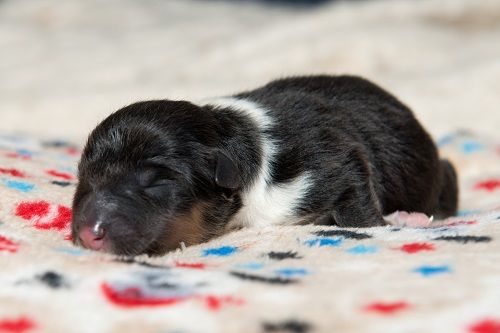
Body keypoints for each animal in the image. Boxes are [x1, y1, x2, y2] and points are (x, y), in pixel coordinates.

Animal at [70, 75, 458, 255]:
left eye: (156, 180)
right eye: (83, 177)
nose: (89, 233)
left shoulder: (332, 158)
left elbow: (360, 210)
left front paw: (390, 223)